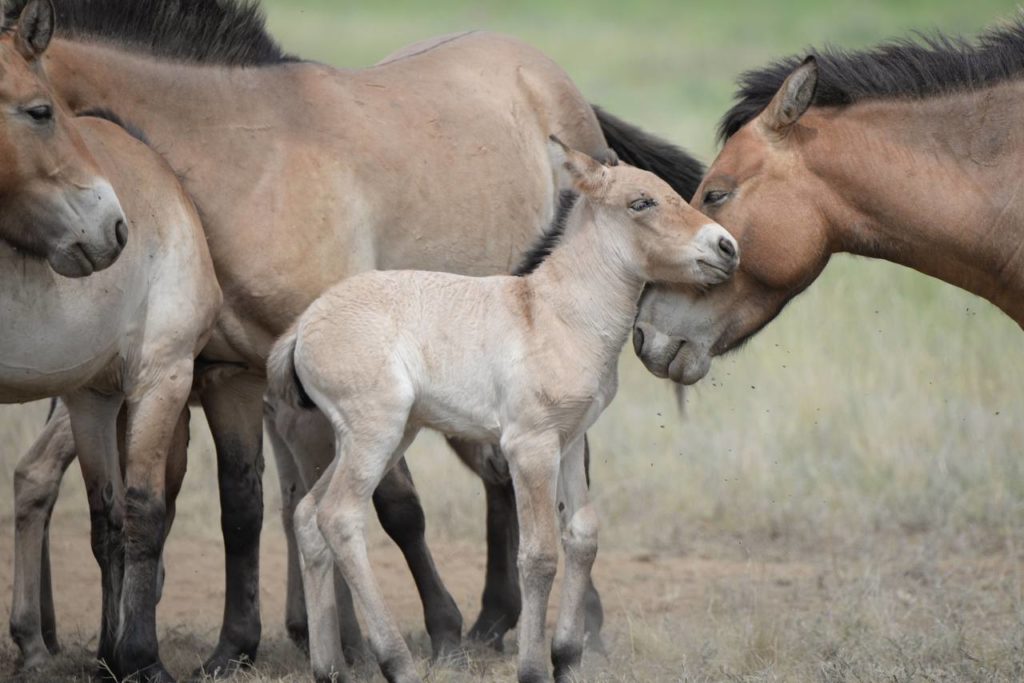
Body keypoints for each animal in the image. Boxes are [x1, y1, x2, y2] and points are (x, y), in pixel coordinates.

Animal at [2, 2, 222, 679]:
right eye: (39, 111)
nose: (112, 229)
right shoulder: (163, 375)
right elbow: (145, 512)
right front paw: (142, 659)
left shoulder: (93, 396)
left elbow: (108, 519)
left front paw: (109, 656)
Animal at [267, 138, 738, 683]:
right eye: (641, 203)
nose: (727, 247)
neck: (556, 314)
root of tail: (303, 324)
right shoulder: (529, 446)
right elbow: (538, 554)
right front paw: (533, 667)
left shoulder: (570, 440)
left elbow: (582, 536)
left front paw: (567, 658)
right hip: (374, 434)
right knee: (339, 517)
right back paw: (396, 662)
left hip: (383, 437)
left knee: (307, 515)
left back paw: (329, 669)